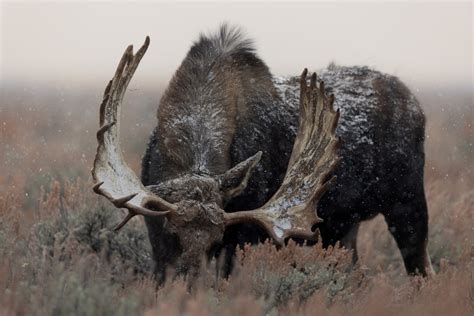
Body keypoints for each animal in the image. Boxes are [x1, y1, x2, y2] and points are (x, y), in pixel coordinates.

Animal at [91, 25, 434, 282]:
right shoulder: (156, 236)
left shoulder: (242, 235)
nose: (191, 281)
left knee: (420, 265)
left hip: (407, 201)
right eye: (173, 233)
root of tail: (415, 105)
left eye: (215, 240)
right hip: (340, 225)